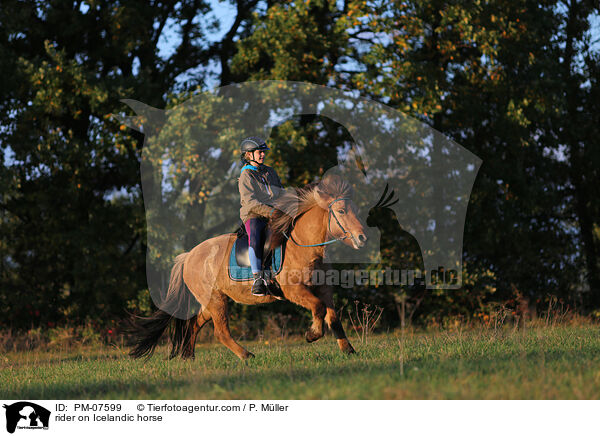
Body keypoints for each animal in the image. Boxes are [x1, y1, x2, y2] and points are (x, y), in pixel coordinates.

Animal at [129, 175, 368, 362]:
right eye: (341, 210)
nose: (362, 238)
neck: (303, 245)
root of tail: (188, 257)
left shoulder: (324, 289)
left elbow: (333, 318)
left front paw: (348, 350)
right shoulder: (295, 291)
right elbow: (318, 308)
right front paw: (312, 335)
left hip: (212, 301)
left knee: (195, 323)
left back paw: (189, 356)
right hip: (216, 300)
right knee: (220, 332)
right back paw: (246, 355)